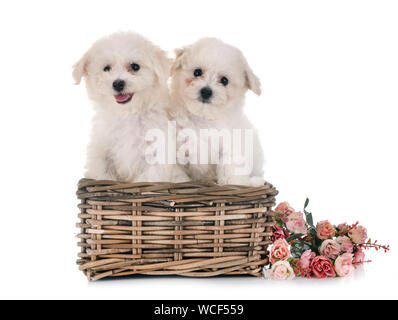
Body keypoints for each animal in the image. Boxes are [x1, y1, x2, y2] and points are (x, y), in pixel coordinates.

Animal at [72, 32, 188, 184]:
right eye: (106, 68)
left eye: (135, 66)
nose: (118, 83)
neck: (128, 114)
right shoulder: (102, 154)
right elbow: (102, 174)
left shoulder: (156, 155)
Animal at [170, 37, 266, 188]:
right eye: (197, 72)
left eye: (224, 80)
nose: (206, 91)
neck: (203, 118)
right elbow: (177, 173)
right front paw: (180, 183)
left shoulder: (232, 145)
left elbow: (231, 167)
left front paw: (234, 184)